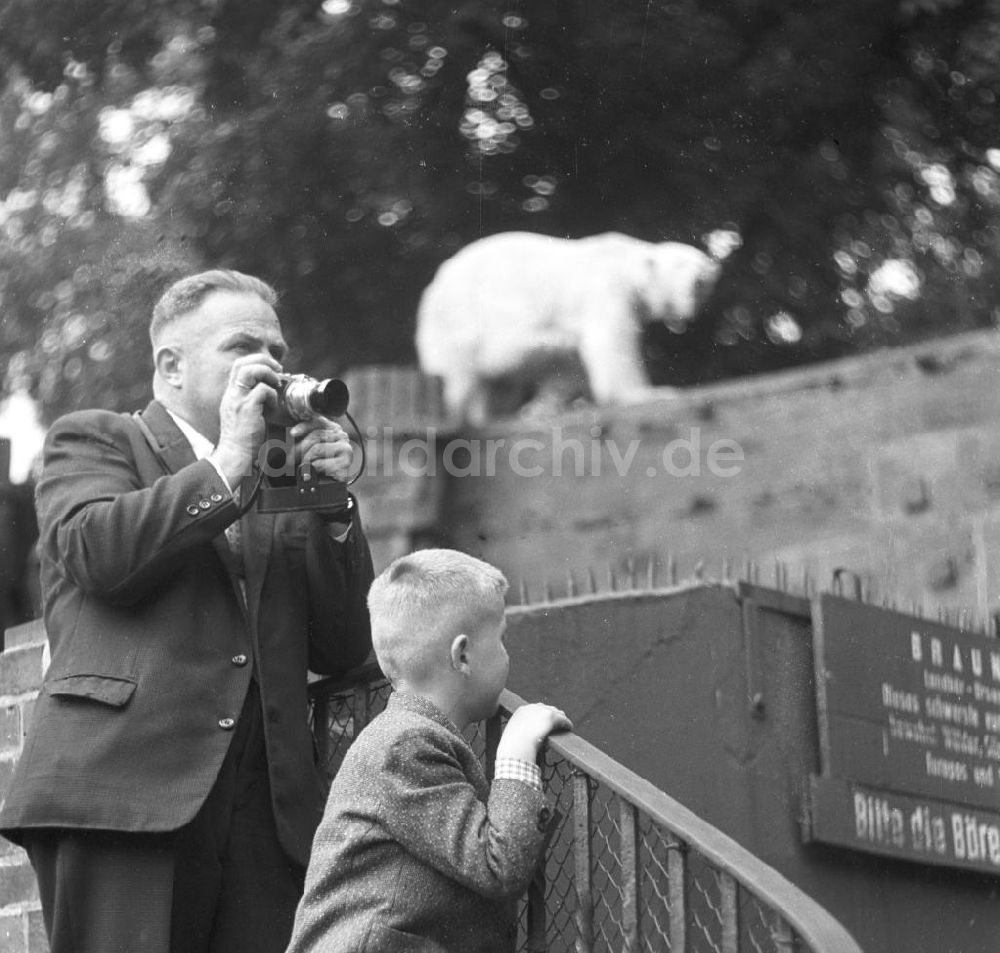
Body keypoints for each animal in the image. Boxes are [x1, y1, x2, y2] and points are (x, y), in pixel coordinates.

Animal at [414, 229, 720, 422]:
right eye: (685, 272)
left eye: (704, 280)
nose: (698, 285)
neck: (624, 262)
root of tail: (430, 289)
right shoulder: (605, 290)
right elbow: (610, 343)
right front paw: (648, 395)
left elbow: (570, 361)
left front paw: (543, 409)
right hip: (457, 322)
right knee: (460, 378)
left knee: (503, 383)